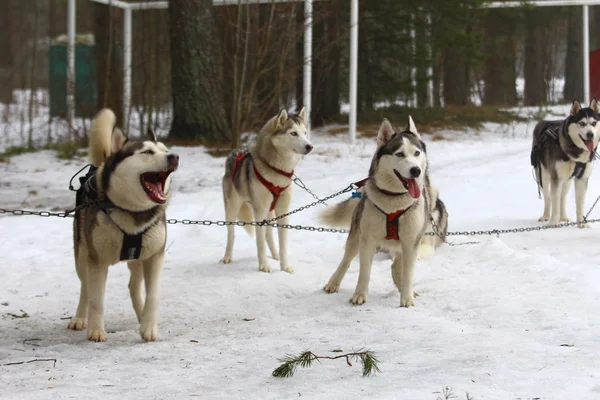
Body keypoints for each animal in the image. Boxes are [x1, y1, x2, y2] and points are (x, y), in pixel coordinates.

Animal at [68, 108, 178, 340]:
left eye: (165, 150)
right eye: (147, 152)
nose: (174, 156)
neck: (133, 211)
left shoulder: (155, 256)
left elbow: (153, 294)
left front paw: (149, 326)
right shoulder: (96, 260)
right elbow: (96, 298)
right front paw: (96, 330)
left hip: (138, 258)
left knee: (134, 286)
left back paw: (141, 314)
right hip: (81, 255)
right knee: (85, 288)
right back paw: (80, 317)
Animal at [220, 108, 314, 274]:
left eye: (305, 133)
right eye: (293, 133)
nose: (310, 146)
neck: (277, 170)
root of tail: (234, 151)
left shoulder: (283, 210)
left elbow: (282, 243)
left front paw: (285, 266)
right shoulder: (260, 211)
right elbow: (260, 243)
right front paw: (264, 265)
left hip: (269, 211)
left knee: (269, 235)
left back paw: (275, 255)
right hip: (233, 208)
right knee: (231, 234)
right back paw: (227, 256)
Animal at [318, 117, 446, 308]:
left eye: (417, 153)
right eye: (399, 154)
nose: (416, 170)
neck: (394, 200)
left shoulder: (411, 242)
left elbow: (408, 273)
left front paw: (407, 298)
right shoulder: (367, 240)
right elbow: (364, 272)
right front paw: (359, 295)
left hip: (404, 245)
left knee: (396, 267)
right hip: (356, 237)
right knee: (346, 260)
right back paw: (333, 283)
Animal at [532, 99, 596, 227]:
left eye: (594, 123)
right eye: (582, 123)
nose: (590, 134)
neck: (576, 153)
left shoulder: (582, 178)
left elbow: (580, 203)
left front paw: (582, 224)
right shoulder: (556, 178)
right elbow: (554, 201)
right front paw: (553, 223)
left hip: (567, 180)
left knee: (562, 197)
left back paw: (563, 217)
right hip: (543, 176)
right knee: (548, 197)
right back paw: (546, 216)